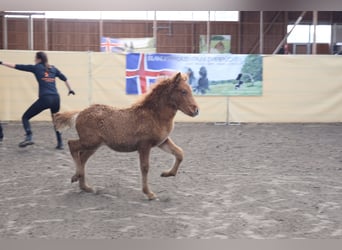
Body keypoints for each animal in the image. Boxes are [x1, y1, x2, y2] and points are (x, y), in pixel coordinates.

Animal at [53, 72, 198, 199]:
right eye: (183, 91)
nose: (196, 110)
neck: (154, 115)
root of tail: (79, 113)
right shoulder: (144, 146)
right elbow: (145, 167)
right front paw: (149, 193)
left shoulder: (162, 142)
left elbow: (179, 153)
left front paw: (167, 173)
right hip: (90, 141)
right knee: (72, 145)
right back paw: (76, 176)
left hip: (94, 145)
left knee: (82, 158)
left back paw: (85, 187)